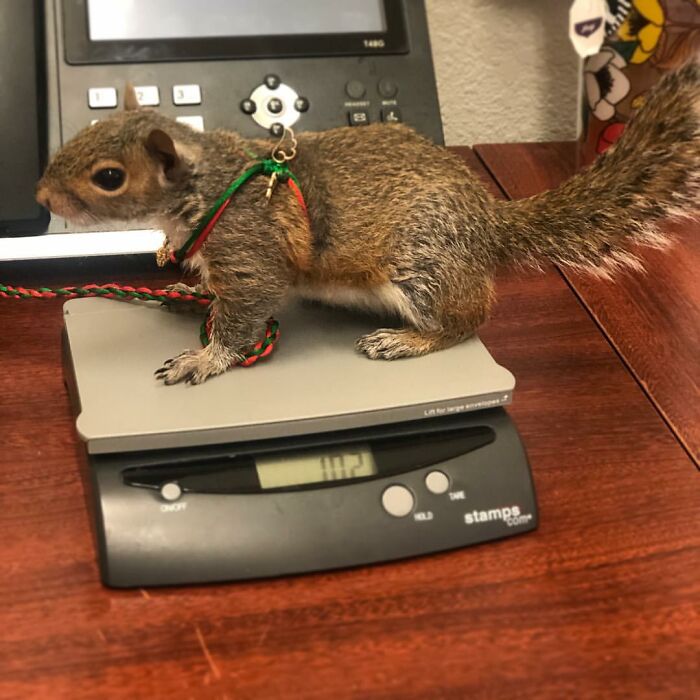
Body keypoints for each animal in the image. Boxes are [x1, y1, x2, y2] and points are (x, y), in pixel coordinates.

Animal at [36, 64, 699, 385]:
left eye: (109, 177)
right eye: (83, 131)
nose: (41, 193)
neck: (210, 184)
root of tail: (489, 221)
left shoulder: (250, 251)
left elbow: (244, 315)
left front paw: (204, 358)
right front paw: (183, 289)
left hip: (423, 265)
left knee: (467, 320)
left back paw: (405, 340)